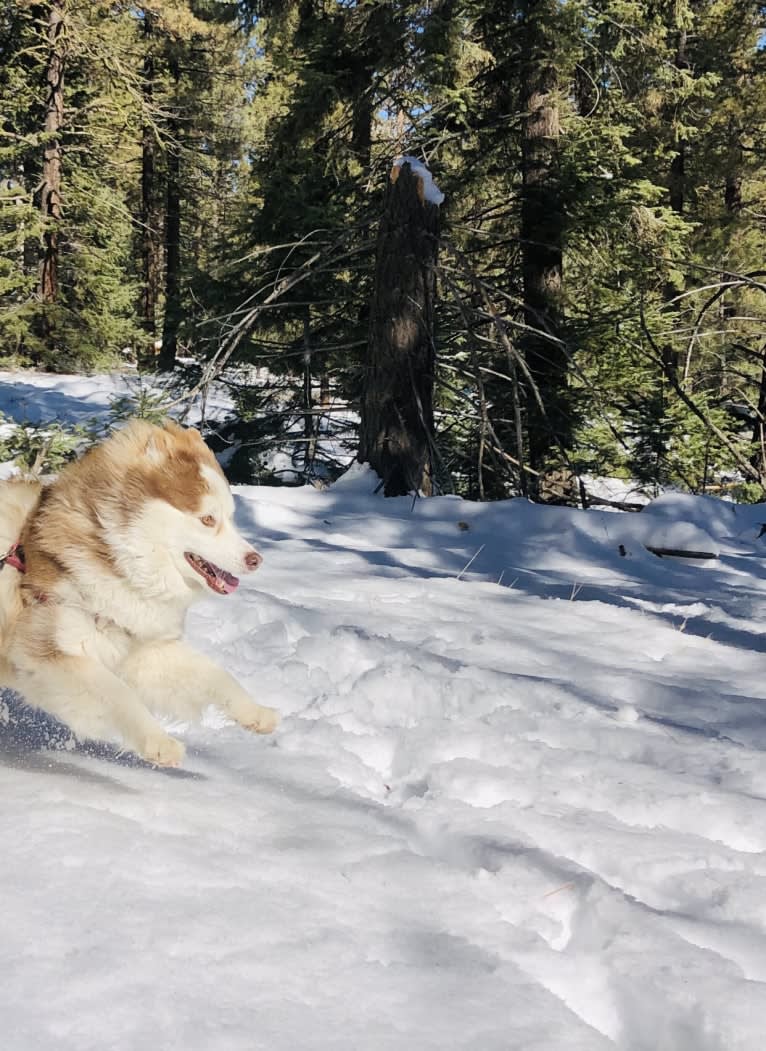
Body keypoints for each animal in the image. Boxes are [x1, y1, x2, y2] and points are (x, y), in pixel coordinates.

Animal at [0, 414, 277, 769]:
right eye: (207, 519)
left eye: (230, 518)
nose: (255, 559)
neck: (118, 556)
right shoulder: (48, 653)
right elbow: (118, 692)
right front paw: (158, 742)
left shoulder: (142, 649)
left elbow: (215, 674)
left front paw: (254, 712)